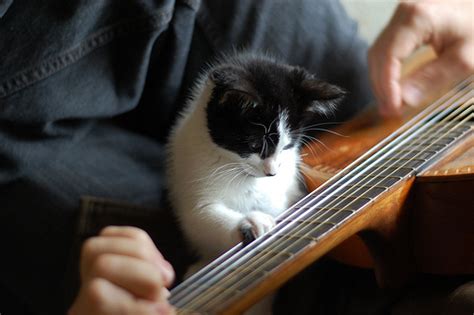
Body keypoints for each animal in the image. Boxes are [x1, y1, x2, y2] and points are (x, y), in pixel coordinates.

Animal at [167, 51, 344, 284]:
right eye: (255, 146)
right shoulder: (192, 174)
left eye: (287, 146)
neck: (240, 171)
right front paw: (248, 224)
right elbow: (200, 216)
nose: (272, 172)